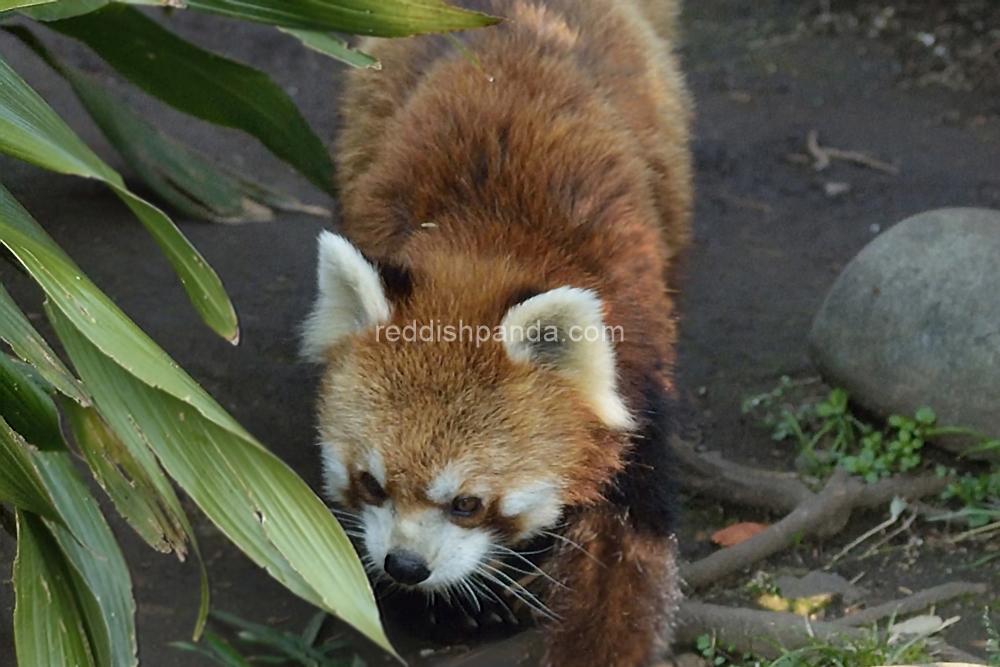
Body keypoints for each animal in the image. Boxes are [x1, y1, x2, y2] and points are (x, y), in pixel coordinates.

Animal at [302, 2, 696, 664]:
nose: (406, 565)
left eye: (467, 503)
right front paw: (439, 606)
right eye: (371, 483)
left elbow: (625, 545)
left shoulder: (639, 365)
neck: (492, 238)